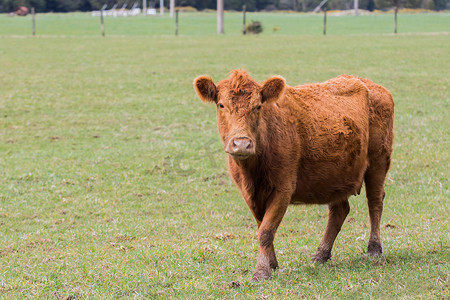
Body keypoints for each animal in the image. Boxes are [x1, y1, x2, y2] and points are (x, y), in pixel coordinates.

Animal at [193, 69, 394, 280]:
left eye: (258, 106)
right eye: (221, 104)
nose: (241, 143)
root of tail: (372, 85)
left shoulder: (283, 189)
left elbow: (266, 231)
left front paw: (261, 270)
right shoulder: (250, 194)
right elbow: (262, 226)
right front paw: (272, 263)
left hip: (378, 162)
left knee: (375, 202)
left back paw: (374, 248)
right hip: (338, 175)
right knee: (339, 211)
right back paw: (321, 254)